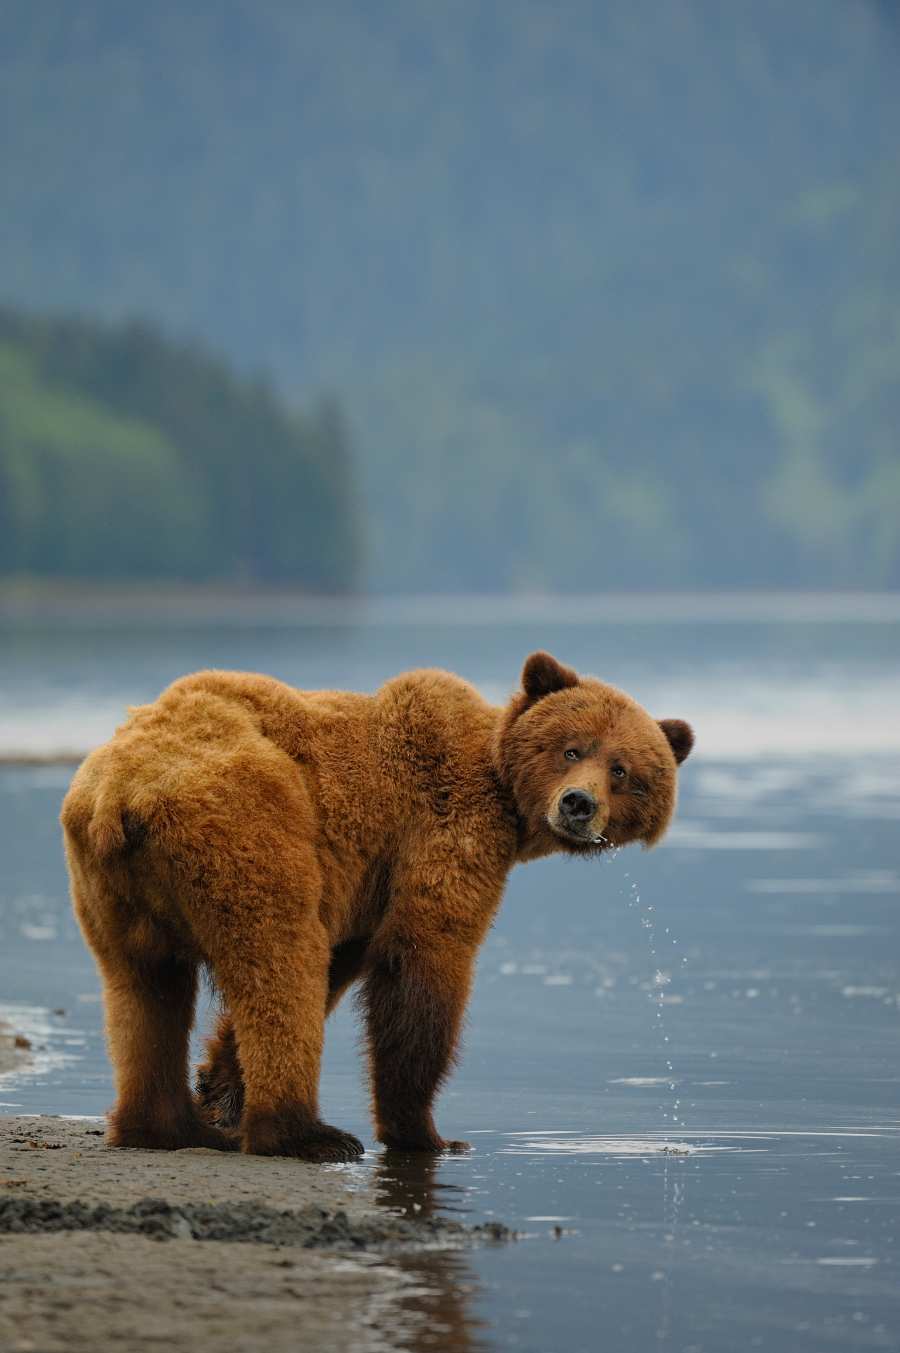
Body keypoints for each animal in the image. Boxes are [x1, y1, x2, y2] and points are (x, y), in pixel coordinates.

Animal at [60, 651, 693, 1162]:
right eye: (571, 748)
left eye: (623, 770)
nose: (579, 803)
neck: (504, 793)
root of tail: (122, 794)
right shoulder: (445, 827)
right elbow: (422, 961)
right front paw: (427, 1133)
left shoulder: (364, 885)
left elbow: (346, 961)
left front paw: (218, 1083)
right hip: (243, 824)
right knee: (280, 960)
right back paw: (305, 1135)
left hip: (109, 887)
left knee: (145, 991)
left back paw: (169, 1128)